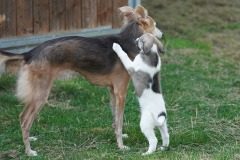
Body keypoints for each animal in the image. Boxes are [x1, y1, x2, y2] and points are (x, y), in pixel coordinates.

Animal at [0, 5, 163, 156]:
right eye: (155, 24)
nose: (162, 33)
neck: (127, 42)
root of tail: (30, 53)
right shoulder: (121, 92)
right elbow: (120, 120)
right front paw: (121, 146)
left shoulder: (112, 91)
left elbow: (116, 119)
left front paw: (120, 136)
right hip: (41, 94)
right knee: (25, 119)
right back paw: (29, 151)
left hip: (36, 94)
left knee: (23, 118)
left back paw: (30, 140)